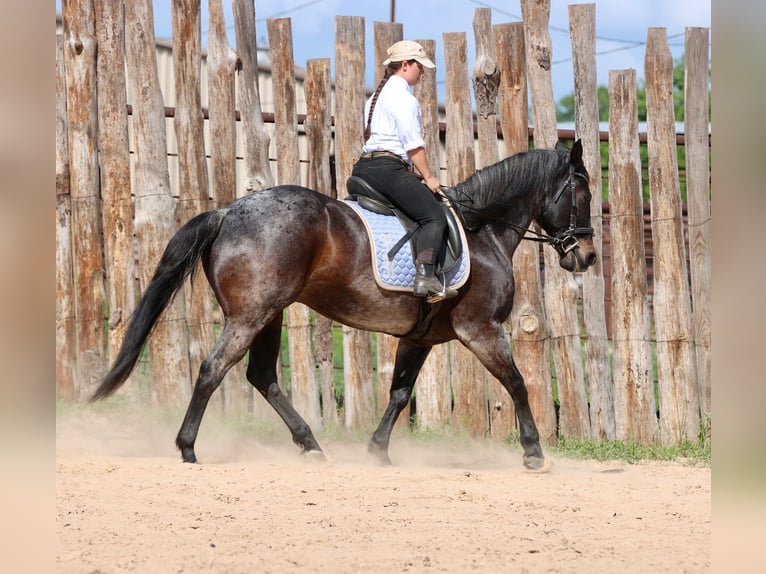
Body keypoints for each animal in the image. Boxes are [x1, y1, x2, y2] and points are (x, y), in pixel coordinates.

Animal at [91, 140, 596, 471]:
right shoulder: (482, 329)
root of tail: (228, 211)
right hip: (250, 316)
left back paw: (310, 444)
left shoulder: (420, 338)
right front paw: (534, 451)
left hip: (269, 315)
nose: (586, 257)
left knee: (262, 376)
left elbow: (399, 392)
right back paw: (188, 447)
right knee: (214, 369)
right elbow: (517, 382)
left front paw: (378, 450)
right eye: (584, 195)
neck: (482, 230)